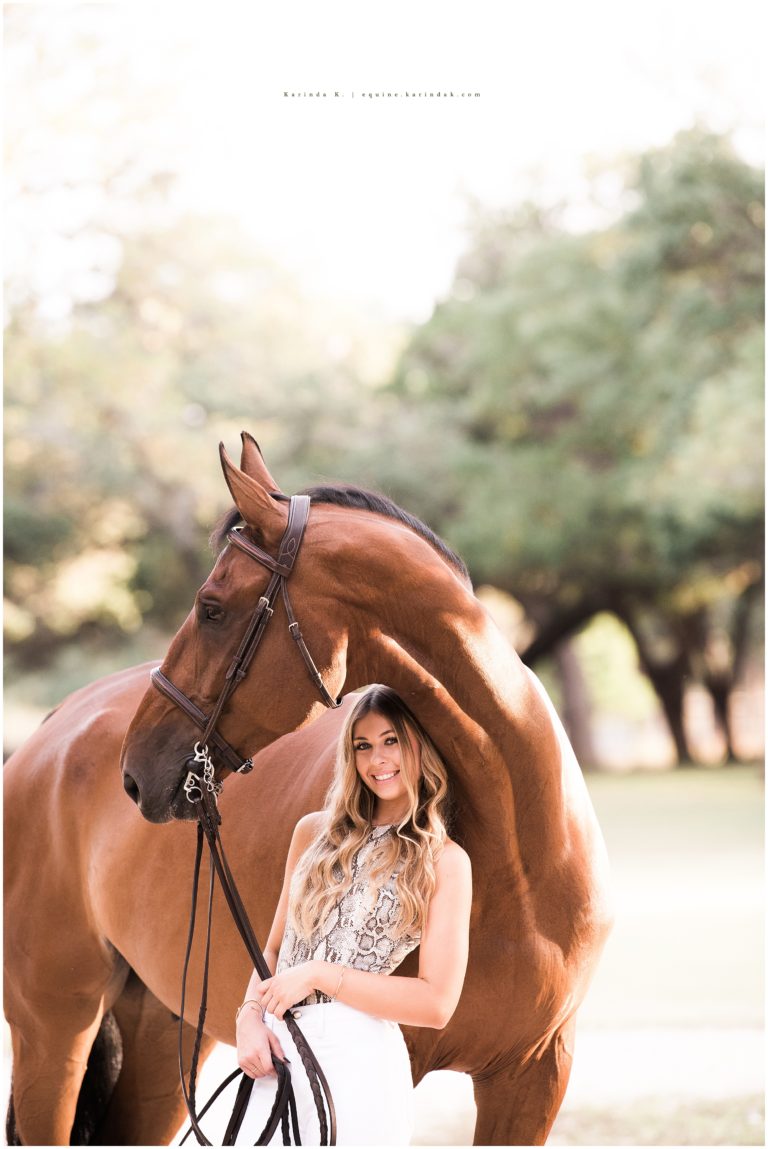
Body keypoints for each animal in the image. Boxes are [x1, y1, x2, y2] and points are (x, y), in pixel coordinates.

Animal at [4, 433, 613, 1145]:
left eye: (211, 608)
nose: (135, 773)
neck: (516, 858)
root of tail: (54, 730)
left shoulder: (533, 1076)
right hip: (54, 1029)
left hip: (162, 1027)